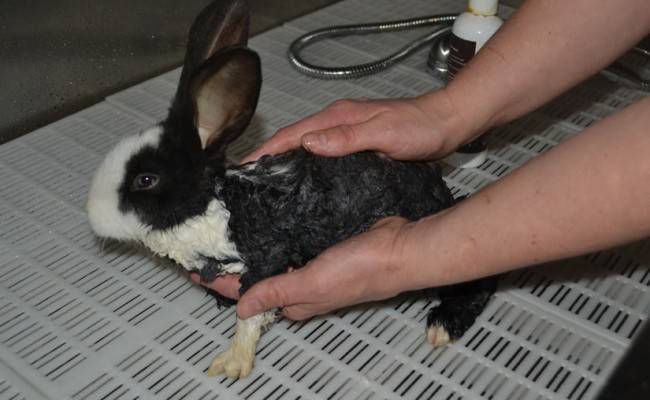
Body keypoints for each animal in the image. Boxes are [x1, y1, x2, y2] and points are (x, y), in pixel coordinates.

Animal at [86, 0, 498, 379]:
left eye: (146, 180)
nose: (91, 214)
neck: (216, 207)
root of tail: (437, 184)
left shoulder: (268, 256)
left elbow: (250, 312)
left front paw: (232, 363)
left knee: (479, 281)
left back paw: (443, 325)